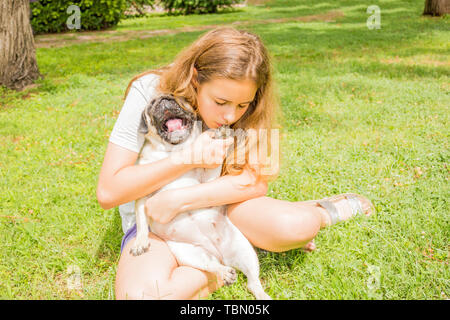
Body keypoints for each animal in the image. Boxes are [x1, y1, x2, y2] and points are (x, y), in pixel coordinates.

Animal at [131, 93, 270, 300]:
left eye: (176, 98)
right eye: (151, 105)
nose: (164, 99)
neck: (175, 151)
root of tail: (220, 254)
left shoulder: (206, 179)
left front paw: (221, 133)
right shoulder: (142, 196)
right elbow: (141, 222)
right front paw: (140, 241)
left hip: (245, 250)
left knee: (253, 282)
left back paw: (261, 294)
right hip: (190, 254)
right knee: (212, 265)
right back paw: (224, 272)